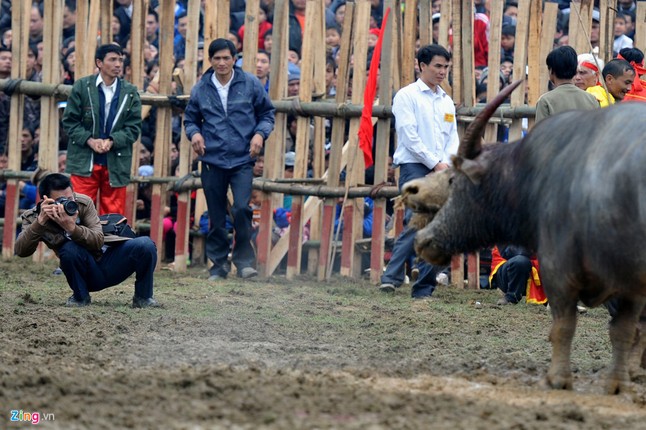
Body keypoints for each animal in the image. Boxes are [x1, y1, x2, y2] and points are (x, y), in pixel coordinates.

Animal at [408, 80, 644, 394]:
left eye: (454, 182)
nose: (422, 239)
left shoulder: (559, 271)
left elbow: (564, 326)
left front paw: (557, 378)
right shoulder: (630, 286)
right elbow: (624, 331)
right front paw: (617, 382)